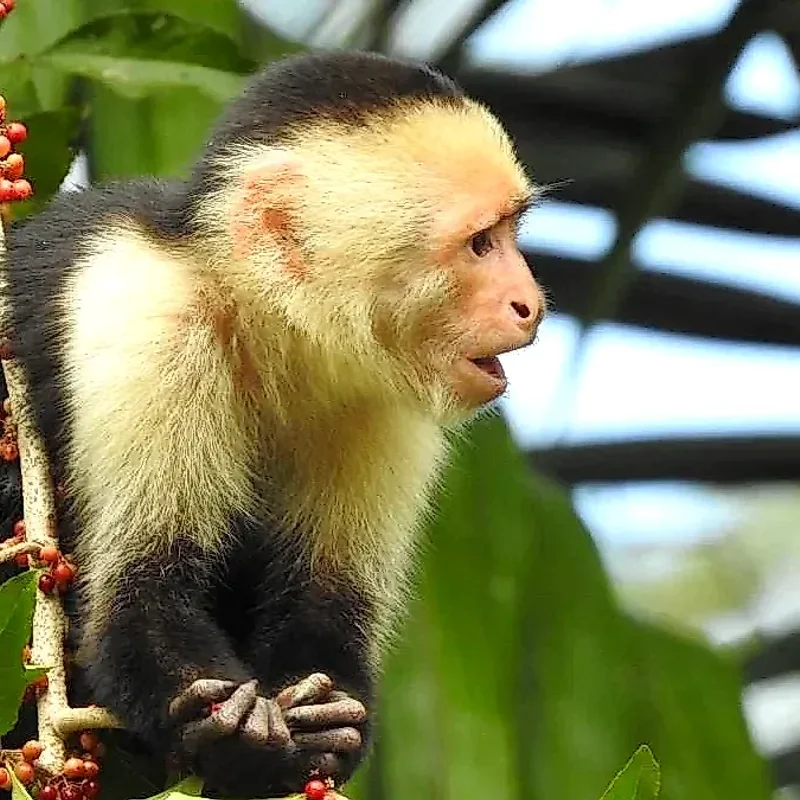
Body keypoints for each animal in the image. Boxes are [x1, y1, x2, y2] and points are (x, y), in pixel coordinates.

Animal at [0, 50, 544, 797]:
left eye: (511, 233)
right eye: (480, 244)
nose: (532, 303)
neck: (262, 320)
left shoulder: (378, 400)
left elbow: (326, 601)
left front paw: (328, 726)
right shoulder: (149, 317)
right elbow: (136, 595)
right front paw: (228, 726)